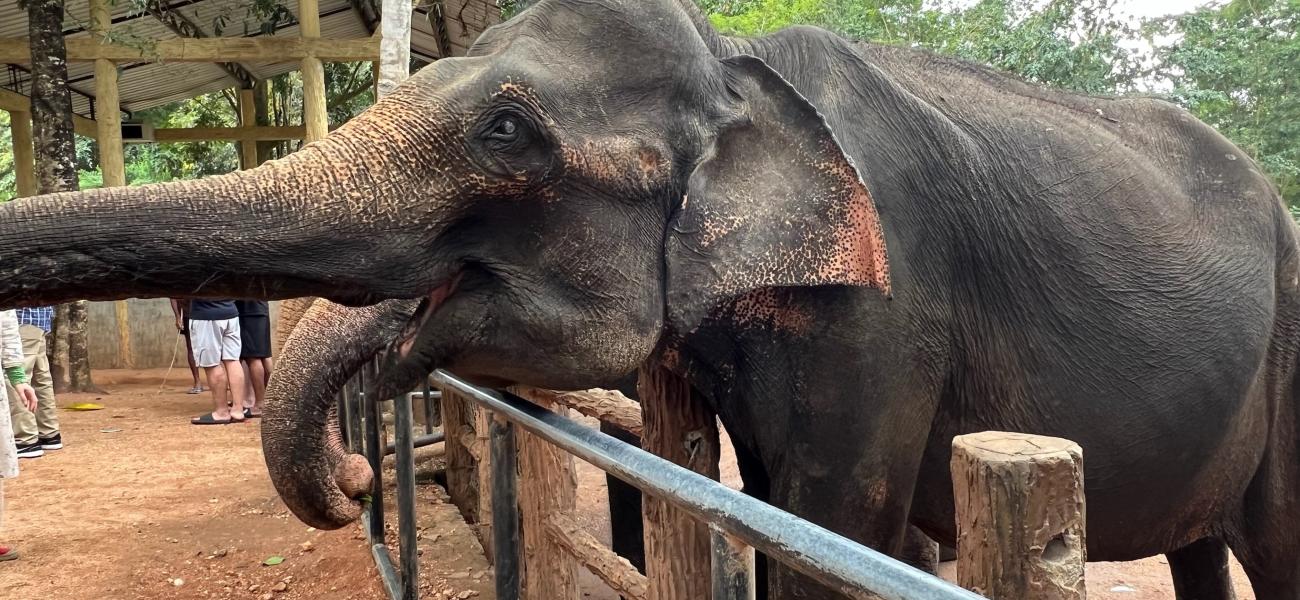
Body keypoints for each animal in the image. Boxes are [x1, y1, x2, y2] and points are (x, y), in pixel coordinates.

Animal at [0, 0, 1296, 597]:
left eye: (508, 132)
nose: (361, 474)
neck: (733, 65)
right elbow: (769, 502)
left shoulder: (889, 302)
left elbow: (833, 522)